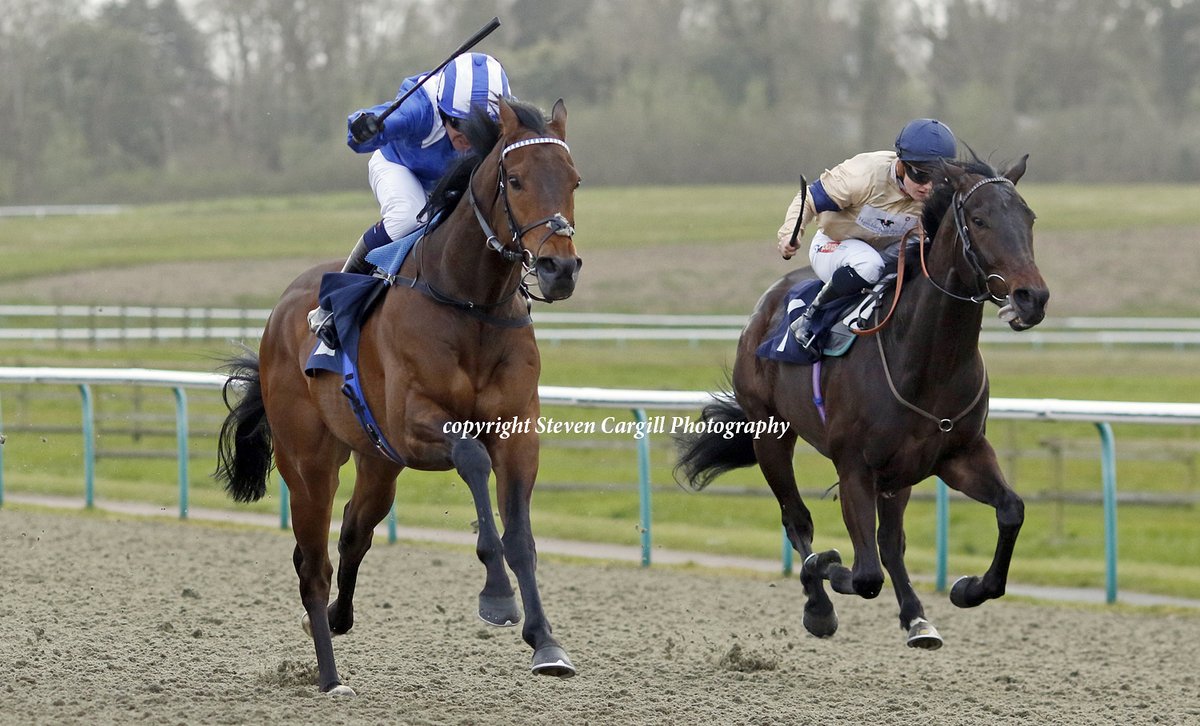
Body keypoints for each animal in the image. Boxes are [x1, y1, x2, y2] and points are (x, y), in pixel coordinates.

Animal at [214, 97, 580, 696]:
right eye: (516, 180)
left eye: (574, 180)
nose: (560, 268)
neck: (470, 304)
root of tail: (278, 315)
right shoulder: (415, 427)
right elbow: (473, 460)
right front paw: (497, 597)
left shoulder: (518, 430)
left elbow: (521, 535)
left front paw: (546, 643)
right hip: (308, 462)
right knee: (312, 565)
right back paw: (330, 678)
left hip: (377, 464)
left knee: (352, 535)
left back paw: (338, 620)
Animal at [676, 156, 1051, 648]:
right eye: (979, 219)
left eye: (1029, 218)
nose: (1032, 298)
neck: (928, 362)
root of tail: (766, 304)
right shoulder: (854, 466)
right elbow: (864, 573)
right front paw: (825, 568)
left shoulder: (958, 455)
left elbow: (1011, 510)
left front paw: (968, 588)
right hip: (771, 434)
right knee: (798, 520)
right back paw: (818, 605)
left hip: (898, 474)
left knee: (890, 542)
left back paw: (916, 617)